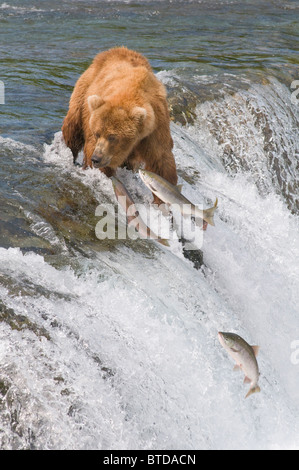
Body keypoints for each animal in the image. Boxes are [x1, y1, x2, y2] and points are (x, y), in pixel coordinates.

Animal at [61, 46, 177, 201]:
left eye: (112, 137)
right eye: (97, 134)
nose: (96, 158)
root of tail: (113, 50)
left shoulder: (155, 127)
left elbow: (161, 161)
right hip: (84, 93)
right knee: (72, 129)